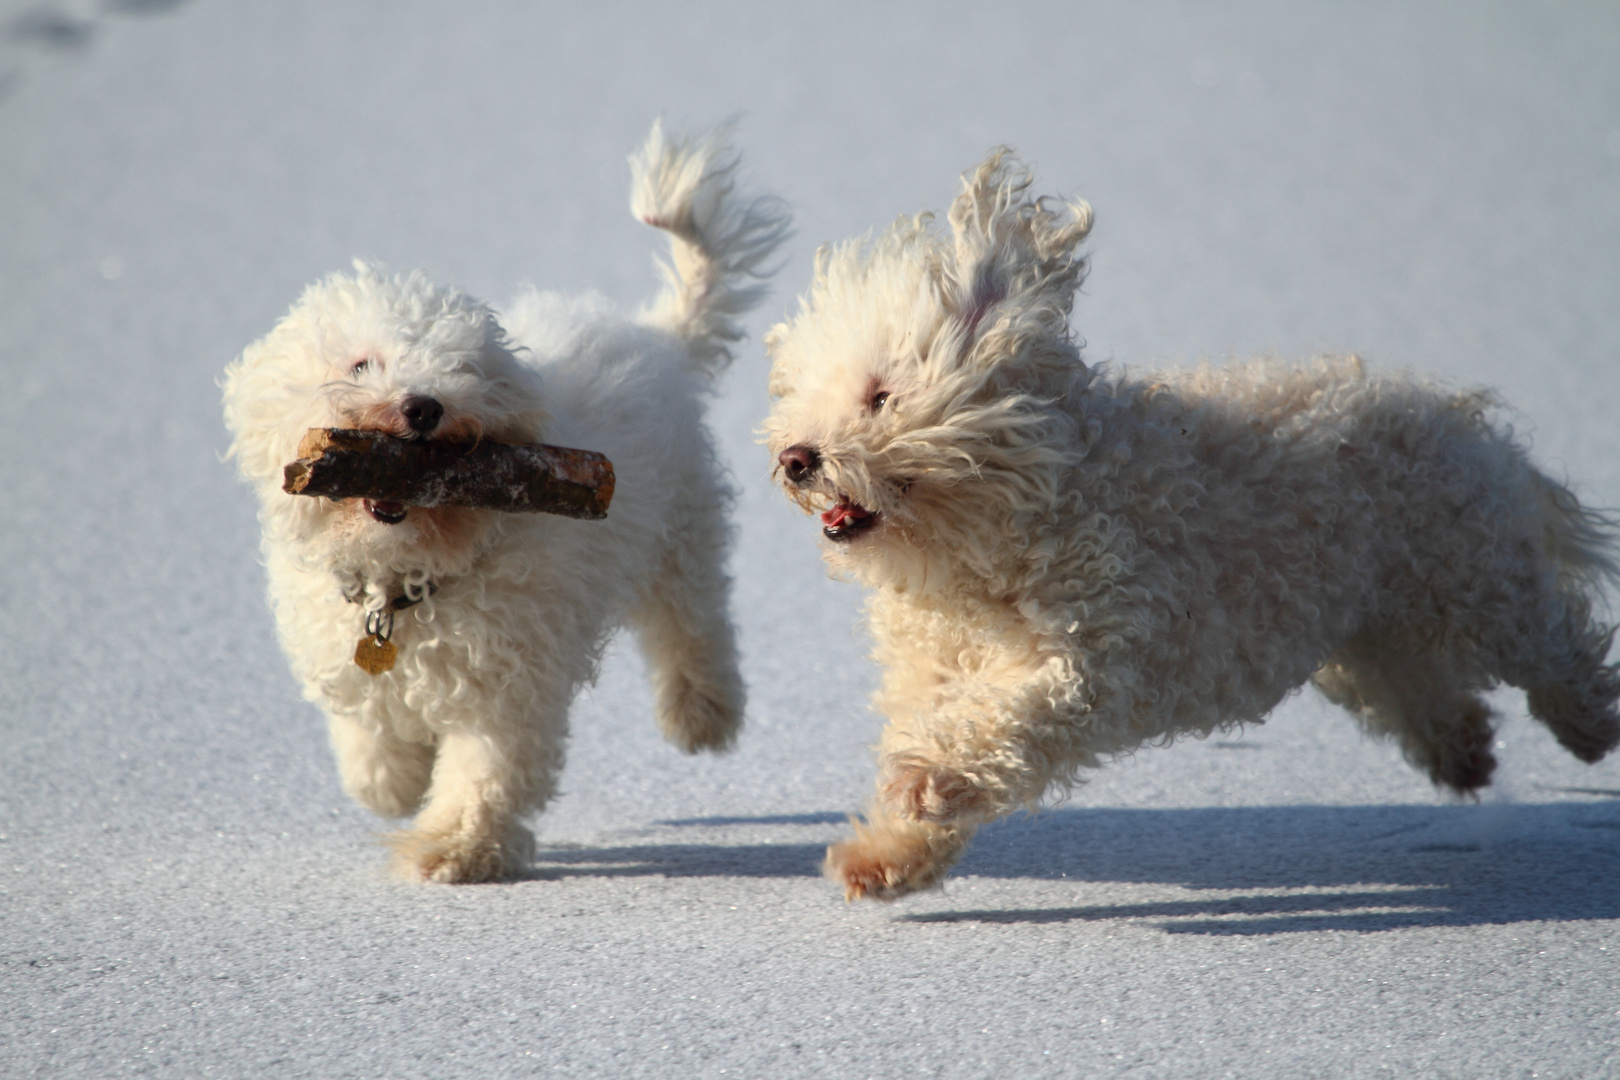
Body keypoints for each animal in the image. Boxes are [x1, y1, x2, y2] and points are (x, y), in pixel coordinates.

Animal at [223, 124, 790, 887]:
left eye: (462, 369)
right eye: (360, 363)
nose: (423, 407)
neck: (411, 581)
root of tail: (655, 335)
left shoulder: (508, 682)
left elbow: (485, 773)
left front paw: (453, 849)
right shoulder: (341, 645)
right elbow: (367, 732)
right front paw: (394, 783)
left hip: (679, 528)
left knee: (693, 623)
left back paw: (701, 714)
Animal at [761, 148, 1620, 900]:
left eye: (879, 396)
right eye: (806, 394)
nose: (796, 457)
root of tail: (1464, 422)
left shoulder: (1097, 654)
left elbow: (1002, 725)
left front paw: (925, 780)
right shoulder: (932, 677)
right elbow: (939, 741)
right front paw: (885, 854)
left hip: (1472, 578)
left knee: (1553, 644)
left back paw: (1590, 725)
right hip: (1365, 630)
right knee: (1421, 689)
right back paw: (1464, 755)